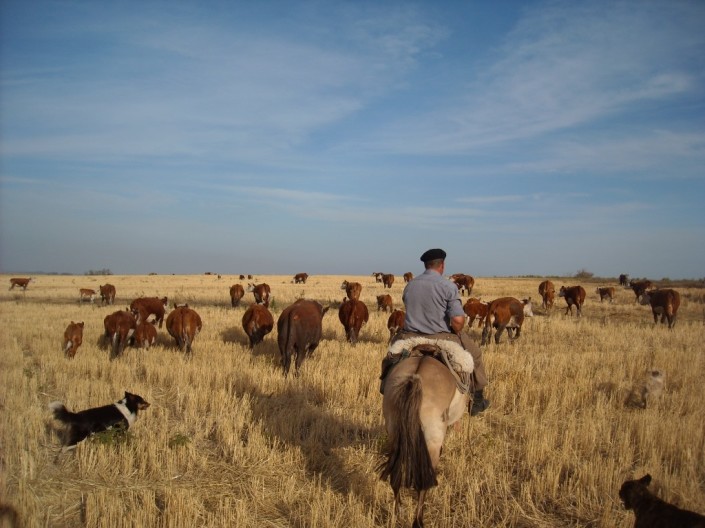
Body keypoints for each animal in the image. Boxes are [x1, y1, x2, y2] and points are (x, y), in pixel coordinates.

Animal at [376, 338, 470, 528]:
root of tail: (415, 377)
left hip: (395, 433)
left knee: (396, 474)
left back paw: (398, 513)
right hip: (432, 439)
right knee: (423, 481)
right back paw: (418, 521)